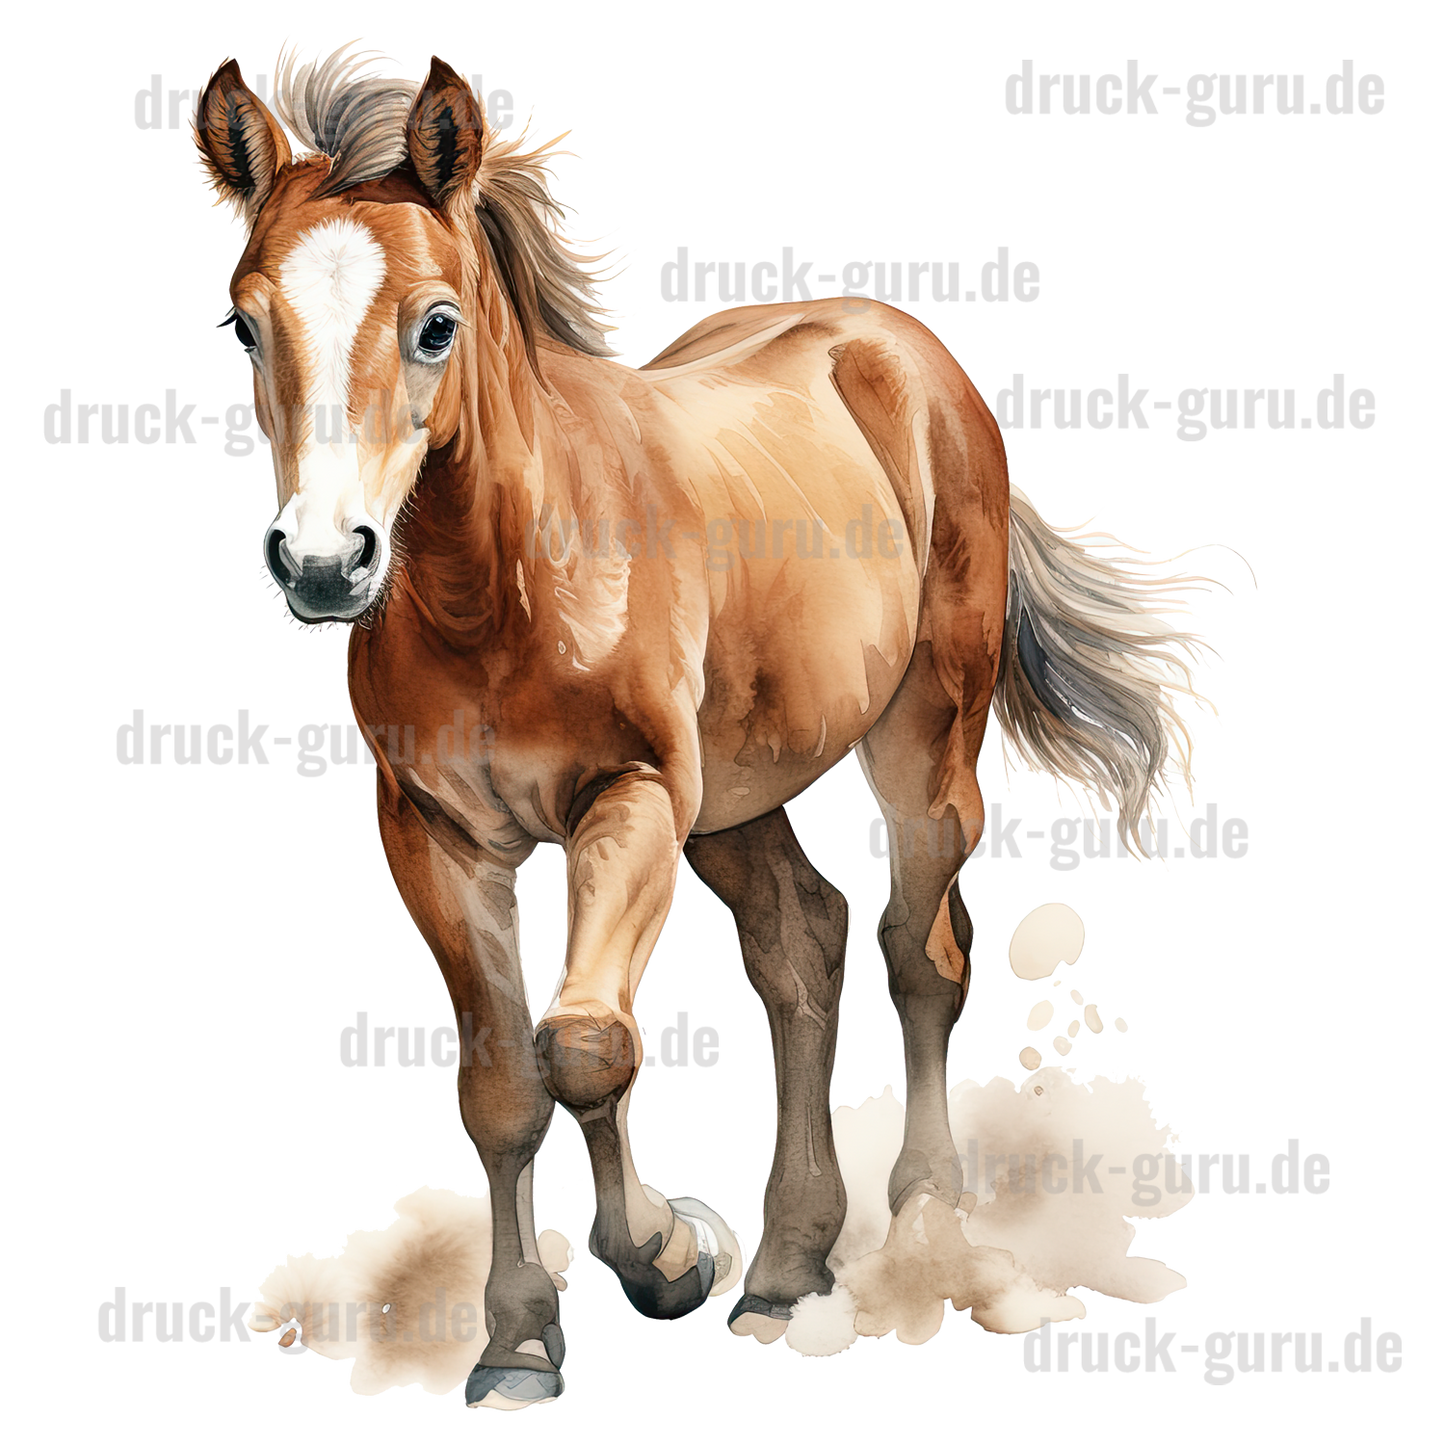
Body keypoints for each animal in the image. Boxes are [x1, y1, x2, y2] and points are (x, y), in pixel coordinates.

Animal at [189, 35, 1257, 1411]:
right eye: (243, 323)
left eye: (434, 324)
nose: (322, 563)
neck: (503, 588)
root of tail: (897, 343)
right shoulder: (434, 834)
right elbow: (500, 1082)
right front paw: (519, 1340)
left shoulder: (631, 797)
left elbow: (586, 1043)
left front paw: (665, 1256)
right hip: (738, 799)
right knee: (803, 940)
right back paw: (790, 1264)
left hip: (918, 742)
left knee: (920, 947)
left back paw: (921, 1237)